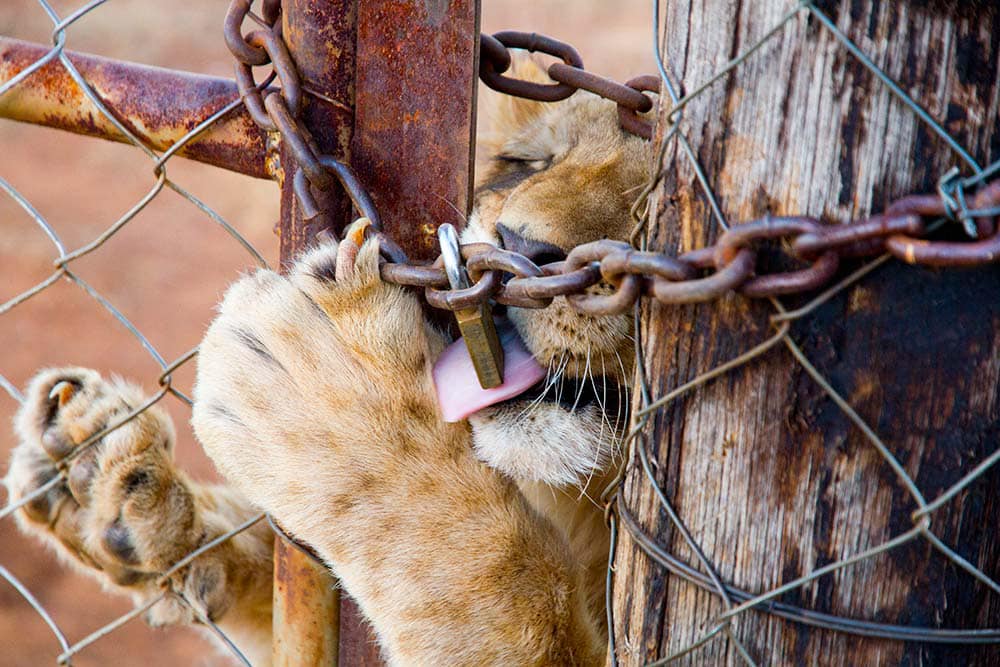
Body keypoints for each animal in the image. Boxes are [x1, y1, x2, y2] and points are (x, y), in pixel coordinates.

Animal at [5, 60, 656, 664]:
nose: (515, 247)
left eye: (651, 213)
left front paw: (337, 409)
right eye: (526, 163)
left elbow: (494, 576)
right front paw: (106, 484)